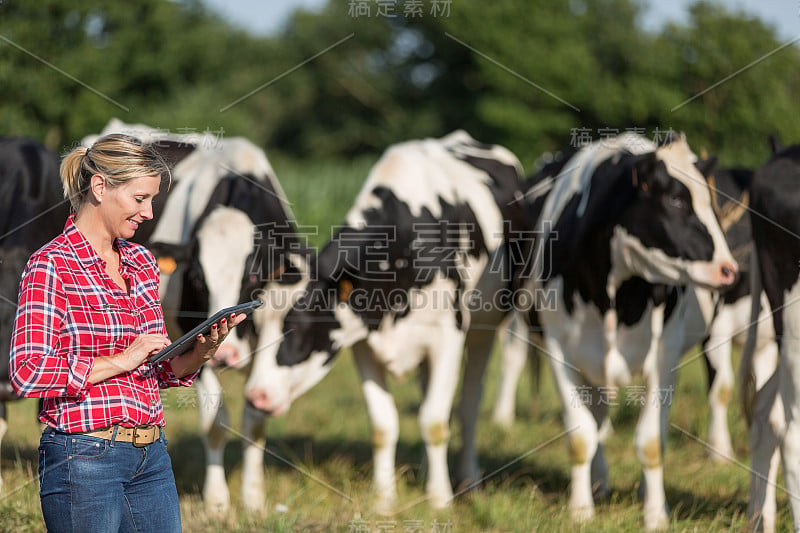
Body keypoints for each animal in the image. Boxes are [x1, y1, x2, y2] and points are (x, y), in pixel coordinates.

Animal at [241, 129, 528, 512]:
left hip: (486, 326)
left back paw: (469, 481)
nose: (255, 396)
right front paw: (384, 499)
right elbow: (383, 425)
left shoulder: (447, 339)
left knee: (467, 407)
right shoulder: (363, 344)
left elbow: (435, 421)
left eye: (297, 327)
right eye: (259, 327)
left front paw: (440, 500)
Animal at [520, 132, 736, 528]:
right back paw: (599, 483)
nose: (729, 270)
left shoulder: (663, 355)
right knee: (599, 422)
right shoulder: (558, 348)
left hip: (715, 334)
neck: (611, 293)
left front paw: (655, 515)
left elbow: (651, 441)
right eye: (676, 199)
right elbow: (581, 435)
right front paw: (580, 511)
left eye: (710, 205)